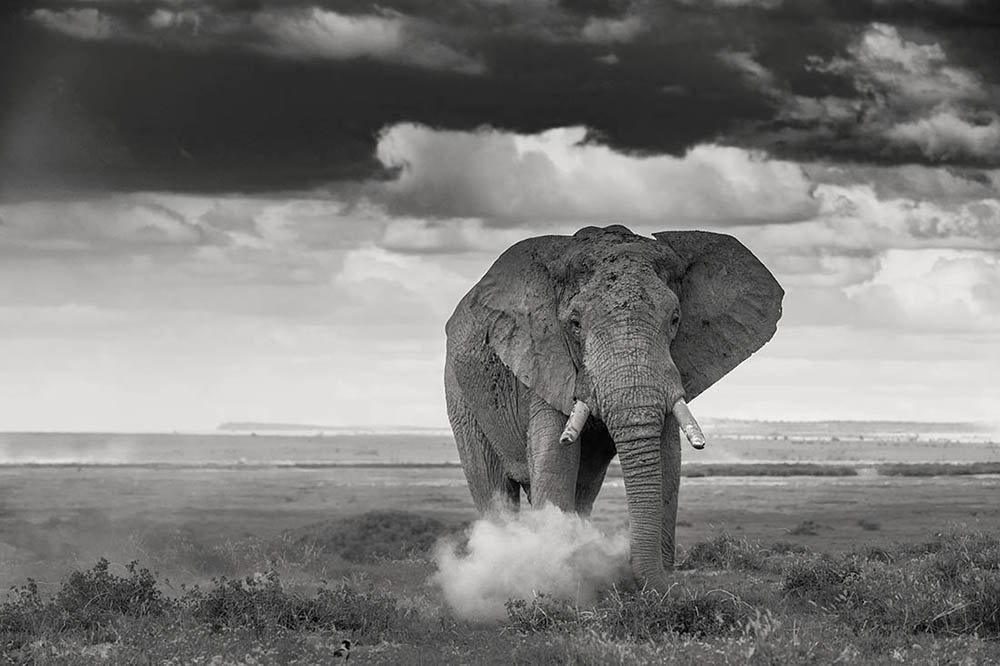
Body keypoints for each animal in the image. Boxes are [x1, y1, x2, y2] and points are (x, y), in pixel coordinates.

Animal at [444, 224, 783, 592]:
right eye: (575, 323)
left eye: (675, 319)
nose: (657, 584)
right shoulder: (544, 360)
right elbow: (555, 459)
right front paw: (554, 585)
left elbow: (667, 459)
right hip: (460, 392)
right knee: (492, 485)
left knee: (584, 486)